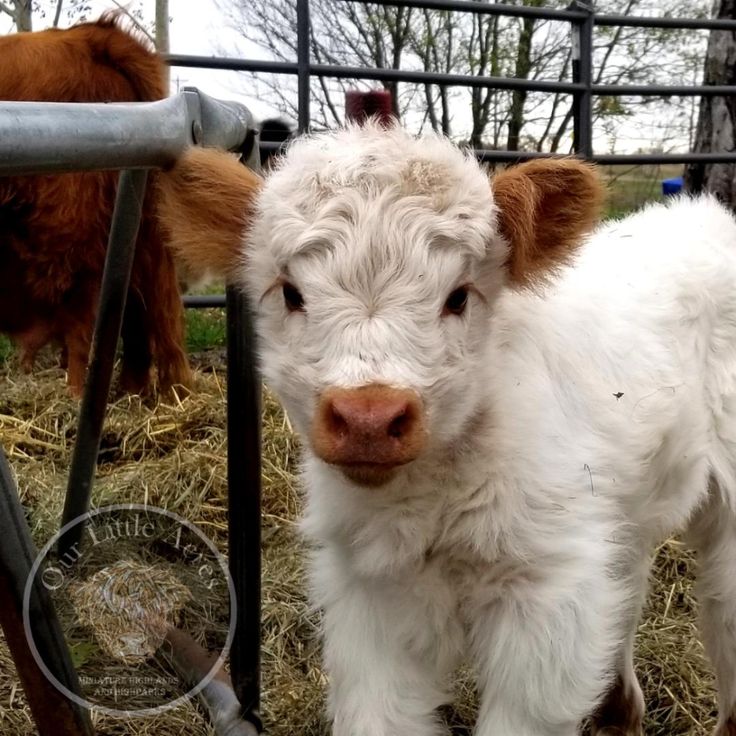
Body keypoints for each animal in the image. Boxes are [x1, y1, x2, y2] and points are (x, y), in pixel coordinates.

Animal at [0, 14, 193, 396]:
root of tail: (91, 38)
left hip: (68, 230)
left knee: (84, 320)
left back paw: (75, 394)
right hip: (135, 226)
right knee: (135, 310)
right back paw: (134, 393)